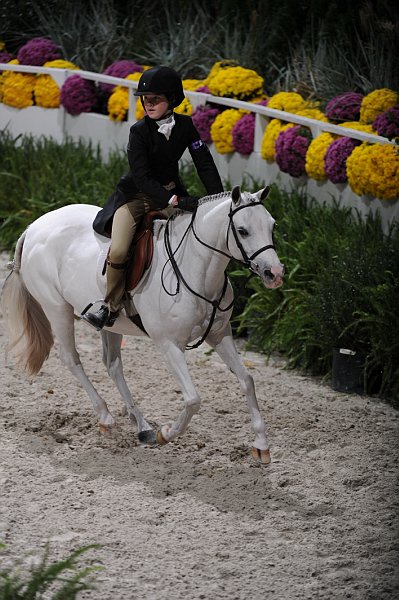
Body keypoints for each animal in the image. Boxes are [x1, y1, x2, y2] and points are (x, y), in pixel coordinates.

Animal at [0, 186, 284, 464]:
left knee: (112, 364)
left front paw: (261, 446)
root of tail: (33, 227)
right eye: (242, 230)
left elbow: (247, 380)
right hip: (57, 309)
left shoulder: (220, 334)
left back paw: (142, 425)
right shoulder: (169, 344)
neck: (195, 269)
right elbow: (193, 399)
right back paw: (106, 417)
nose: (275, 274)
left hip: (111, 324)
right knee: (71, 358)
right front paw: (166, 434)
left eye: (272, 225)